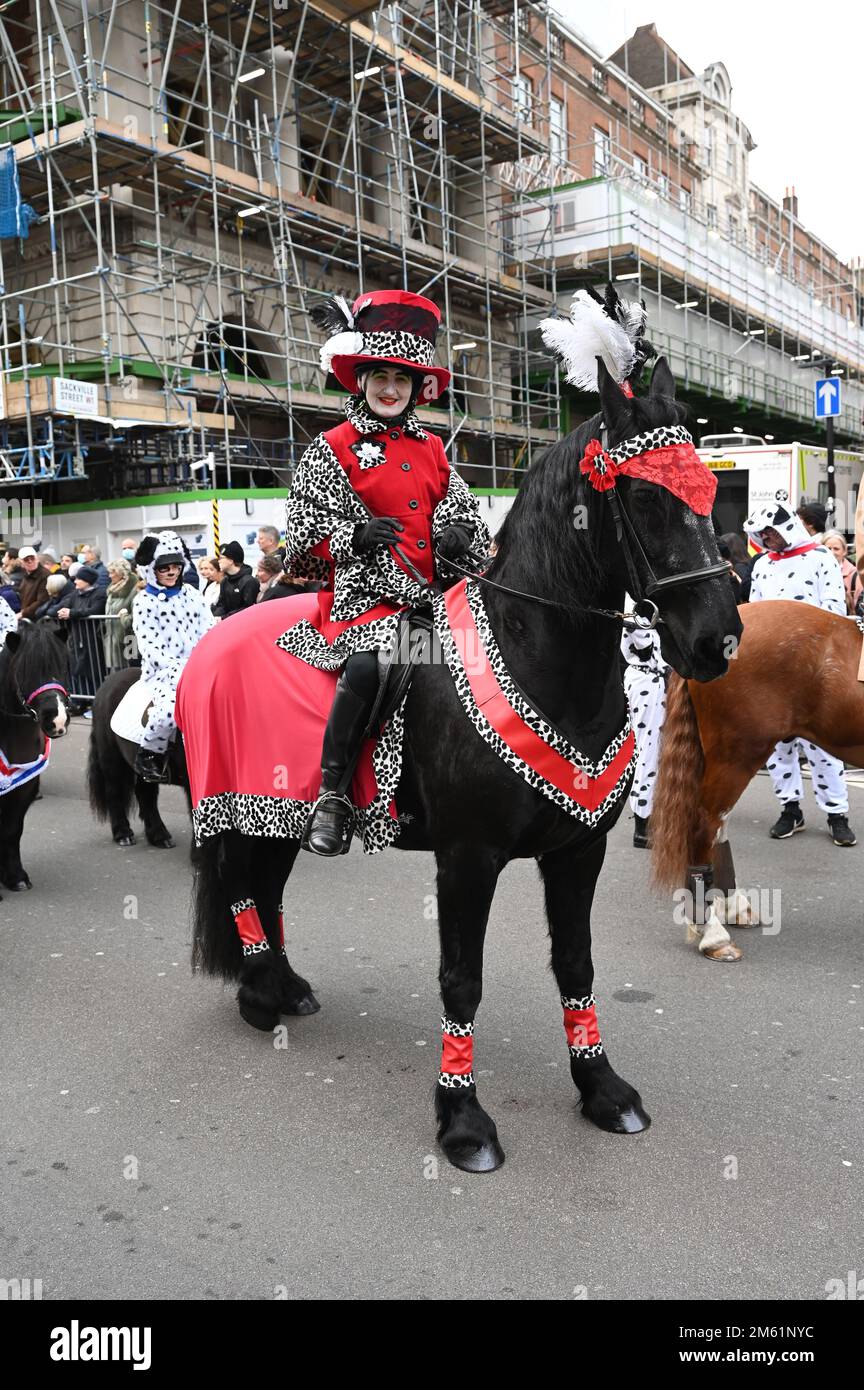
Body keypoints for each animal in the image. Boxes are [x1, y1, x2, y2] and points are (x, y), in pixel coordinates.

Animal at [0, 625, 71, 895]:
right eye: (24, 669)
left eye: (64, 664)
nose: (57, 719)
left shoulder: (24, 787)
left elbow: (12, 829)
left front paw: (15, 877)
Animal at [87, 664, 190, 845]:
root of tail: (106, 684)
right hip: (112, 761)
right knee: (114, 792)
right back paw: (123, 834)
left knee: (145, 795)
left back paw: (159, 836)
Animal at [188, 361, 744, 1173]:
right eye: (644, 495)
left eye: (706, 486)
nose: (716, 640)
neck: (539, 657)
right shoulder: (467, 858)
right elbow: (461, 981)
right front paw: (463, 1120)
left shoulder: (578, 850)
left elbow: (576, 966)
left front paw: (601, 1088)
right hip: (234, 802)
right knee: (237, 884)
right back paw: (260, 992)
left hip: (274, 815)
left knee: (266, 885)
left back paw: (284, 986)